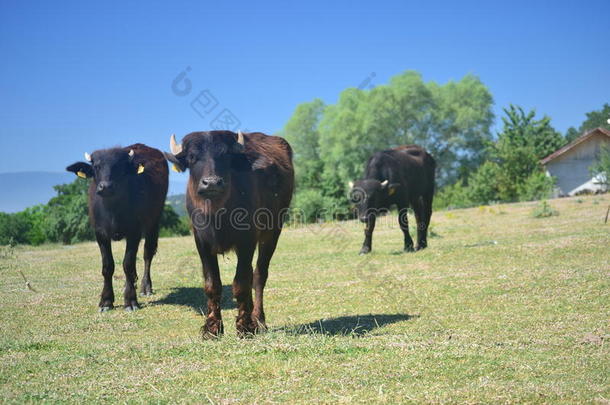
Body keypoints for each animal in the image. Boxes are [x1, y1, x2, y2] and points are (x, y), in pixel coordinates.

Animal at [66, 144, 169, 310]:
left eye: (119, 167)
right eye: (96, 166)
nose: (106, 187)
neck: (113, 210)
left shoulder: (134, 232)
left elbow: (128, 264)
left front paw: (130, 300)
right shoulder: (100, 234)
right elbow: (108, 266)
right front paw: (106, 301)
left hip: (154, 222)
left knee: (147, 254)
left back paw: (145, 287)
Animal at [164, 130, 292, 338]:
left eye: (225, 156)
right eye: (192, 157)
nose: (212, 183)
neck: (217, 214)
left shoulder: (247, 240)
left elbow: (241, 283)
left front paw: (245, 326)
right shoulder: (201, 242)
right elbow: (212, 284)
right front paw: (212, 327)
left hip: (273, 232)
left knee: (258, 275)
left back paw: (258, 319)